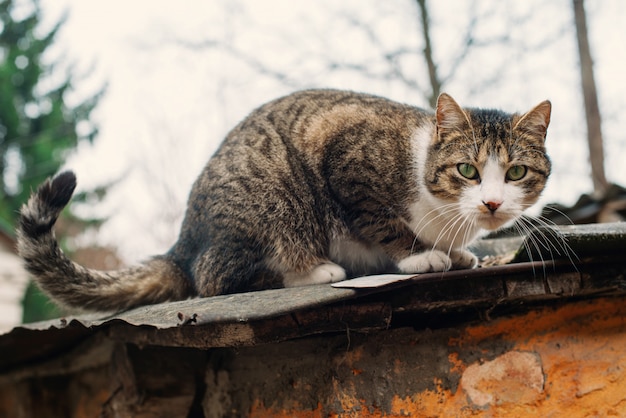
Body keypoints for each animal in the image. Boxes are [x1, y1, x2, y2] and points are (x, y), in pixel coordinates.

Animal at [15, 89, 552, 310]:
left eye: (516, 173)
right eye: (467, 171)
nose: (492, 204)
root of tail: (182, 244)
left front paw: (457, 253)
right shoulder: (346, 159)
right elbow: (381, 221)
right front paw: (420, 255)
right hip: (274, 204)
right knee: (217, 280)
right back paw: (317, 270)